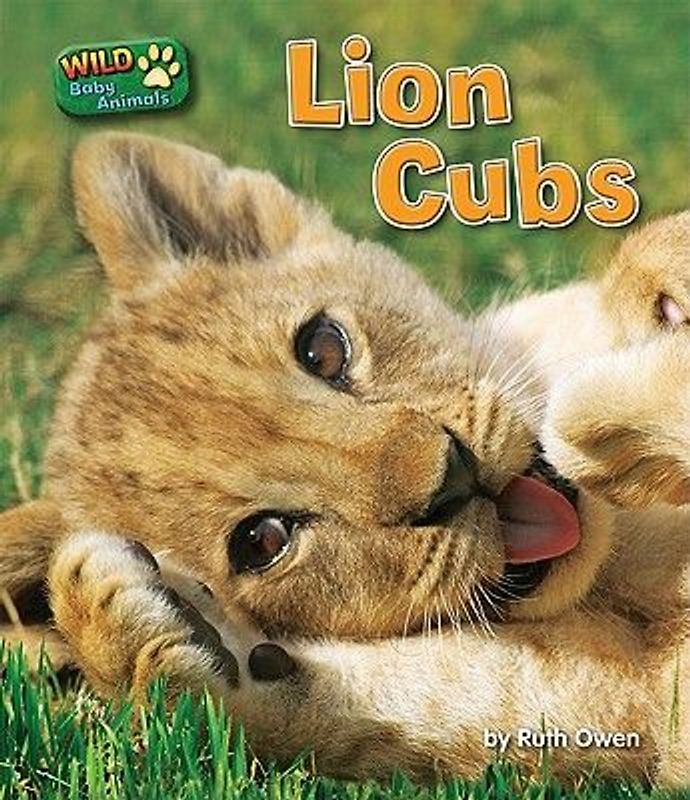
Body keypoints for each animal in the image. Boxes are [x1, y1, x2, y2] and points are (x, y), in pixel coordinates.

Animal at [0, 133, 688, 787]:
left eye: (323, 349)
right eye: (261, 540)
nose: (451, 476)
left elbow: (641, 249)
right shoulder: (642, 705)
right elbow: (451, 706)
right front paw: (159, 637)